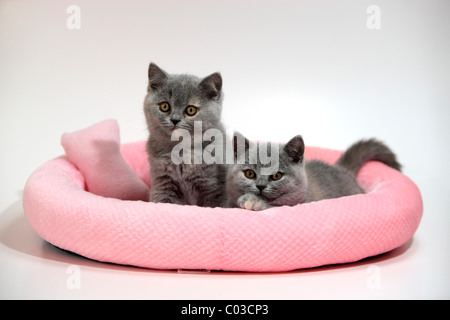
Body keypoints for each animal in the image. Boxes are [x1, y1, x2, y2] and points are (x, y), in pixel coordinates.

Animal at [225, 134, 400, 211]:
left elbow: (275, 205)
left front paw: (253, 201)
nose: (260, 186)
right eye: (249, 174)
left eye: (277, 176)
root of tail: (343, 169)